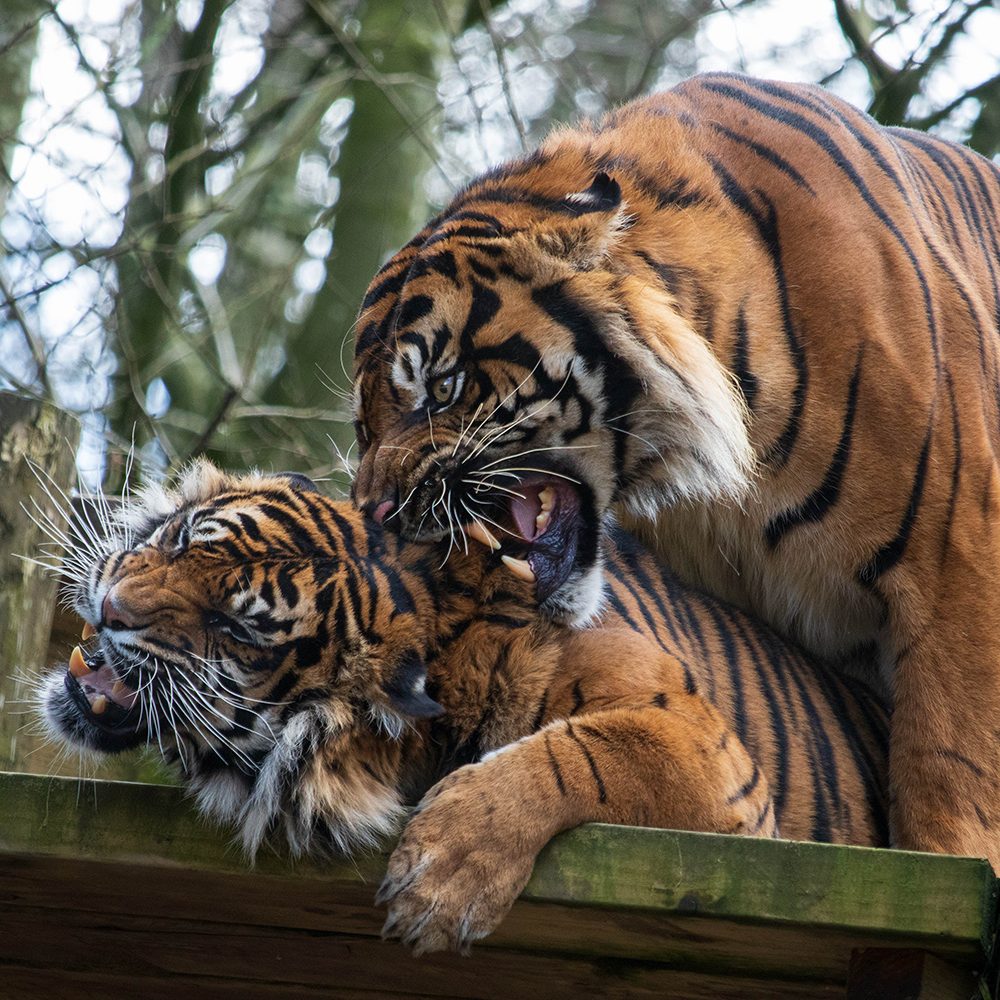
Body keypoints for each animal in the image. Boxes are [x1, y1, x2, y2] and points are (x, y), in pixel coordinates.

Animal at [39, 460, 888, 952]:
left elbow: (582, 753)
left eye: (236, 629)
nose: (110, 608)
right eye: (182, 538)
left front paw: (441, 881)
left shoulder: (697, 743)